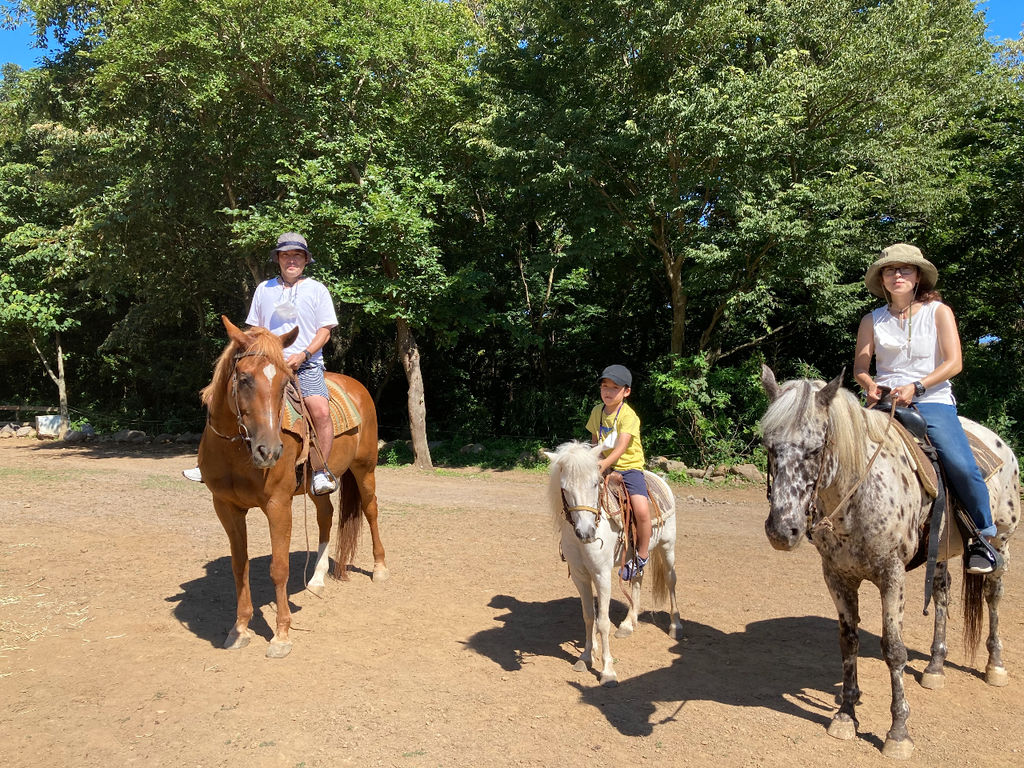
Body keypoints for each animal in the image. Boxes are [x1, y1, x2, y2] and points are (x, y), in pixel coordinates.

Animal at [195, 315, 387, 659]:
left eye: (284, 382)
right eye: (244, 378)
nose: (269, 451)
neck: (236, 451)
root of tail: (358, 388)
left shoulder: (278, 505)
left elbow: (279, 568)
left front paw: (281, 636)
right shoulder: (226, 507)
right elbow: (239, 566)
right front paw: (239, 629)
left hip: (365, 469)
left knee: (371, 510)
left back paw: (379, 569)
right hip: (316, 487)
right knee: (326, 515)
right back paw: (317, 578)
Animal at [544, 442, 679, 688]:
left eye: (595, 483)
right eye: (564, 488)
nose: (586, 533)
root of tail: (660, 478)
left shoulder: (601, 575)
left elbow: (603, 622)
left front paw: (607, 671)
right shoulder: (580, 575)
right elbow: (589, 616)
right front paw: (586, 657)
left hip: (667, 547)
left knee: (671, 580)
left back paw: (675, 627)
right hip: (634, 557)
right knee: (637, 578)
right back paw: (628, 624)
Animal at [757, 368, 1019, 765]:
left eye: (815, 449)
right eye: (770, 446)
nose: (782, 530)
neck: (858, 496)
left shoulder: (891, 576)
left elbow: (894, 649)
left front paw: (898, 733)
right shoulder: (837, 576)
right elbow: (848, 641)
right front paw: (846, 714)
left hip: (1001, 543)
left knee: (993, 597)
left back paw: (995, 665)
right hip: (940, 553)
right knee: (941, 596)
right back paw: (935, 667)